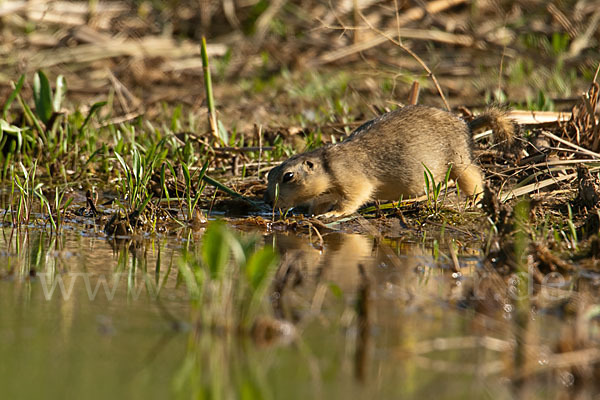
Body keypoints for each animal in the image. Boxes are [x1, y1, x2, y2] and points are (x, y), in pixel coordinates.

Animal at [264, 104, 512, 217]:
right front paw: (313, 212)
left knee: (475, 178)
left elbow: (355, 196)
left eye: (288, 176)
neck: (327, 164)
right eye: (268, 174)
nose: (267, 201)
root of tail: (466, 124)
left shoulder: (351, 178)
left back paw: (474, 201)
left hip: (459, 161)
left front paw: (333, 213)